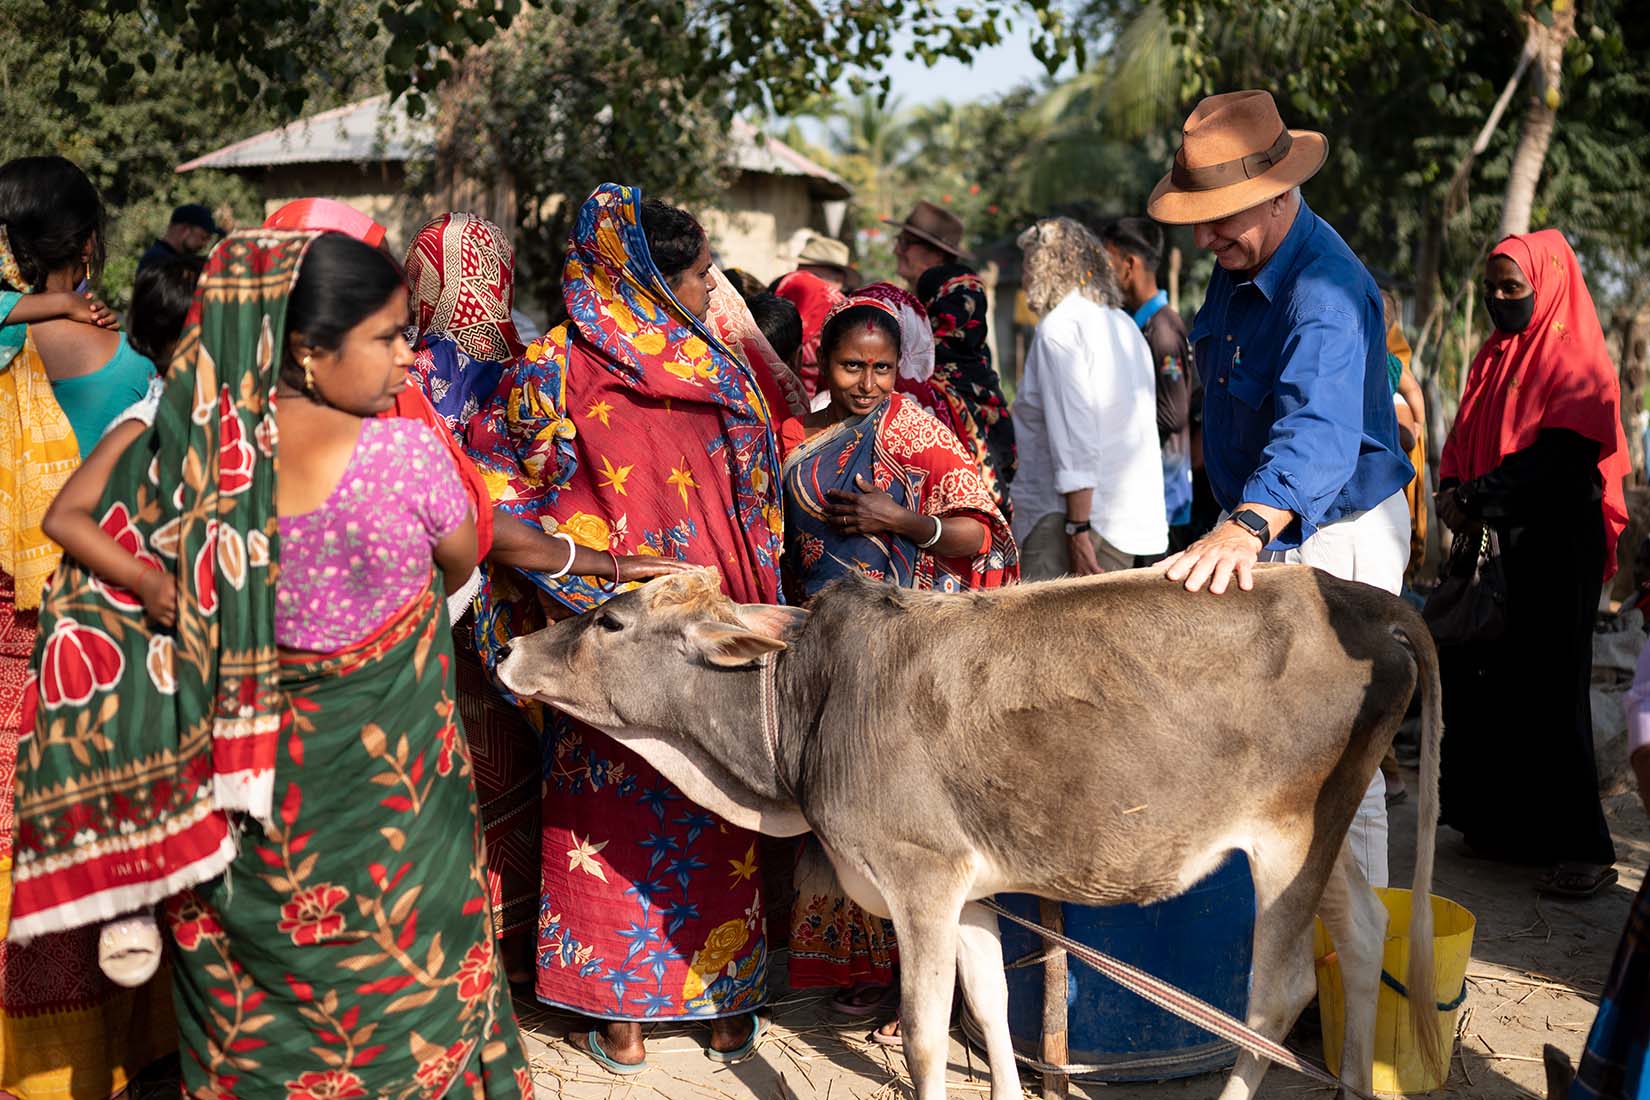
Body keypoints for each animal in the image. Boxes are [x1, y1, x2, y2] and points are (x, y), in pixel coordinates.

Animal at [495, 567, 1438, 1100]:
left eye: (610, 621)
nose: (508, 651)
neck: (807, 706)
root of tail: (1359, 597)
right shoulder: (972, 890)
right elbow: (987, 1008)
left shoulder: (921, 878)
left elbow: (923, 1033)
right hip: (1330, 833)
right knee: (1365, 934)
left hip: (1286, 841)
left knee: (1275, 996)